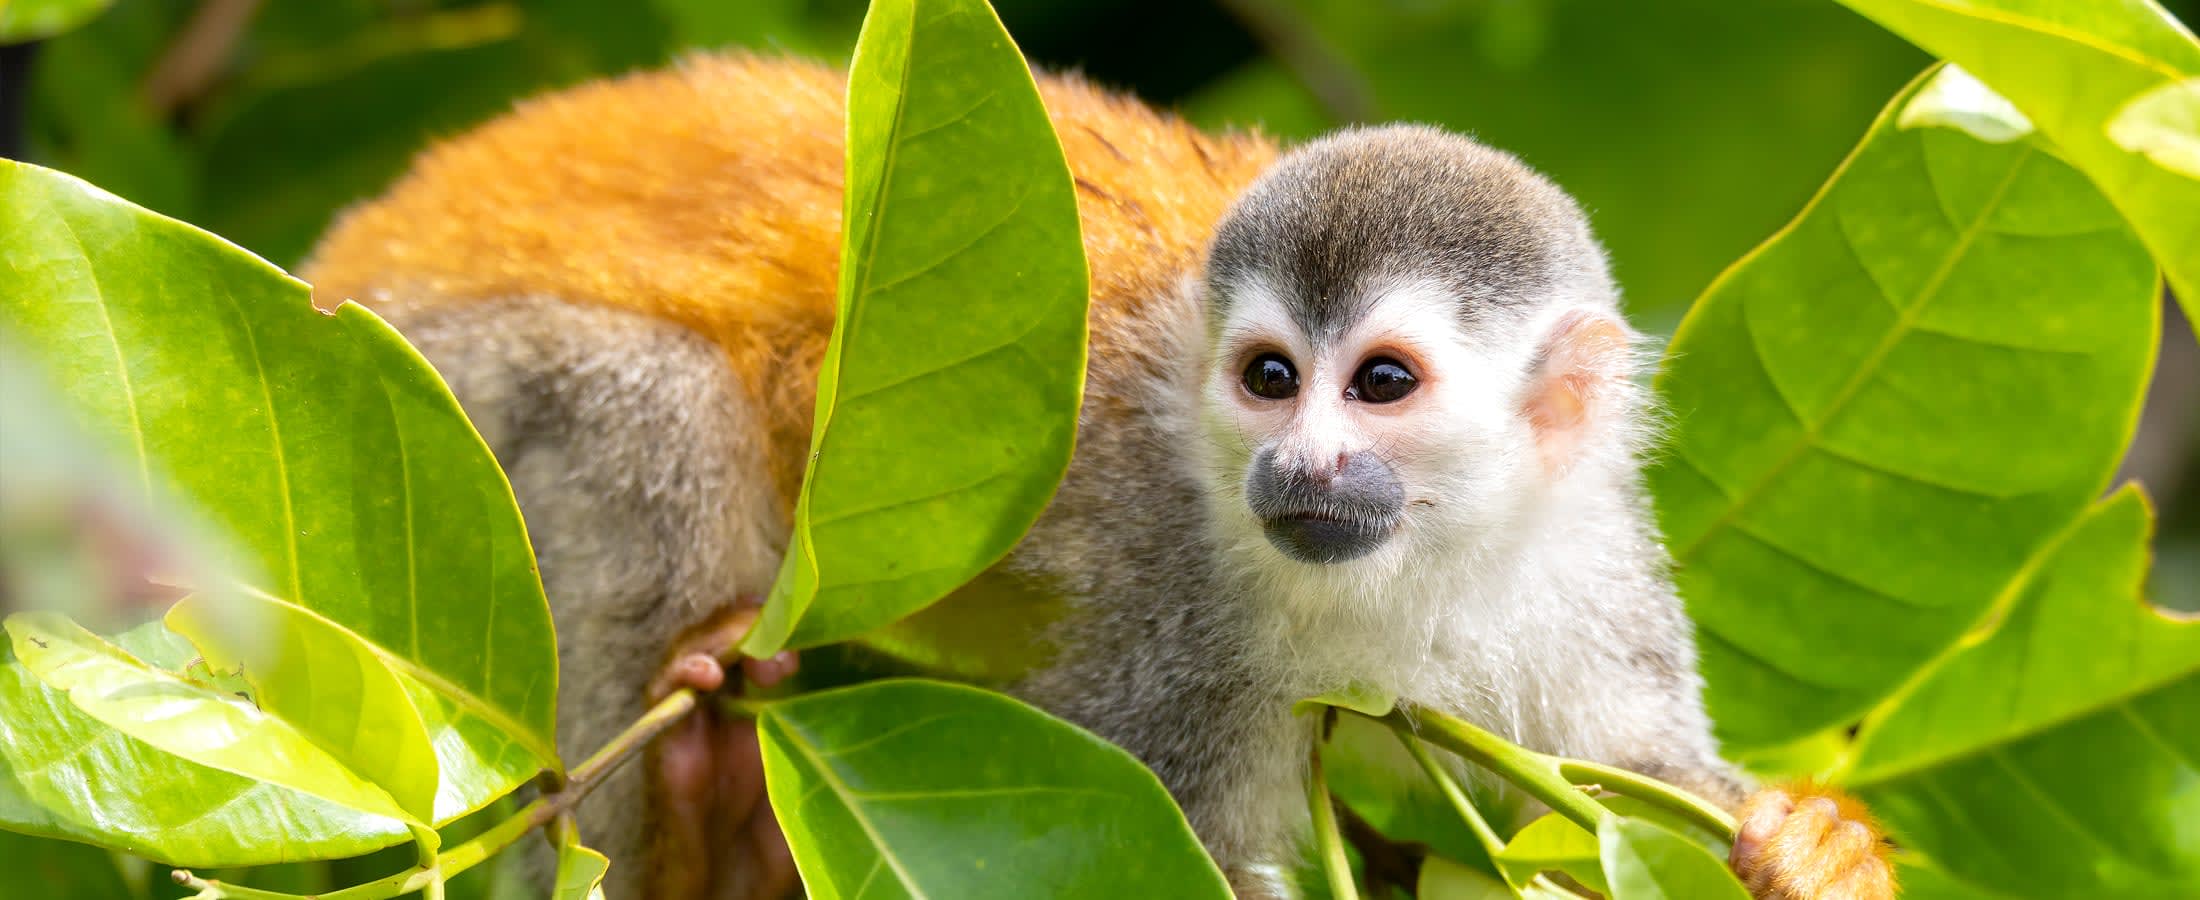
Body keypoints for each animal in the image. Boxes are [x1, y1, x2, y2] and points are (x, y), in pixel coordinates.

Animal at [304, 53, 1894, 900]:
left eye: (1379, 385)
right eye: (1268, 378)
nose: (1297, 464)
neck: (1415, 563)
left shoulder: (1588, 573)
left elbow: (1631, 774)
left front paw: (1811, 841)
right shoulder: (1176, 608)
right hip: (451, 372)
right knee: (658, 417)